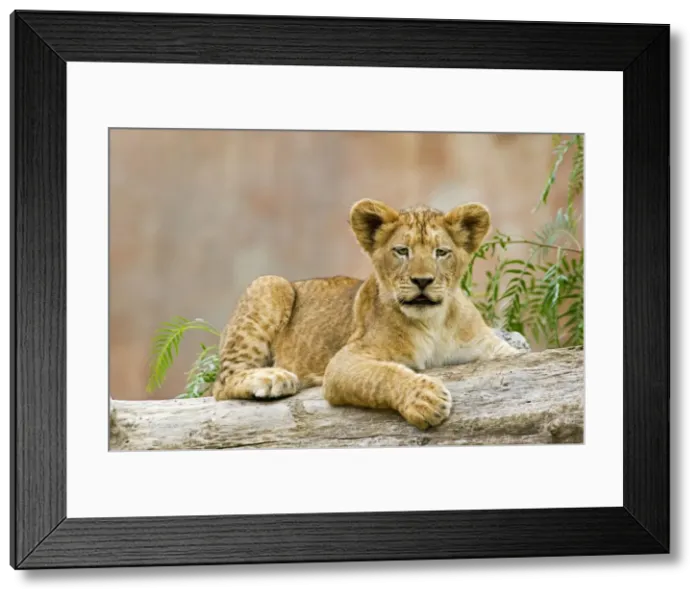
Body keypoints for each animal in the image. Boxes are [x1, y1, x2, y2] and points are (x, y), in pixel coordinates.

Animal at [211, 198, 527, 429]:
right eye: (402, 251)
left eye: (441, 252)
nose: (422, 281)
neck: (433, 323)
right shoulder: (343, 362)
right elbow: (384, 374)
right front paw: (426, 400)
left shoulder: (492, 349)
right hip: (269, 283)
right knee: (222, 384)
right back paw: (272, 378)